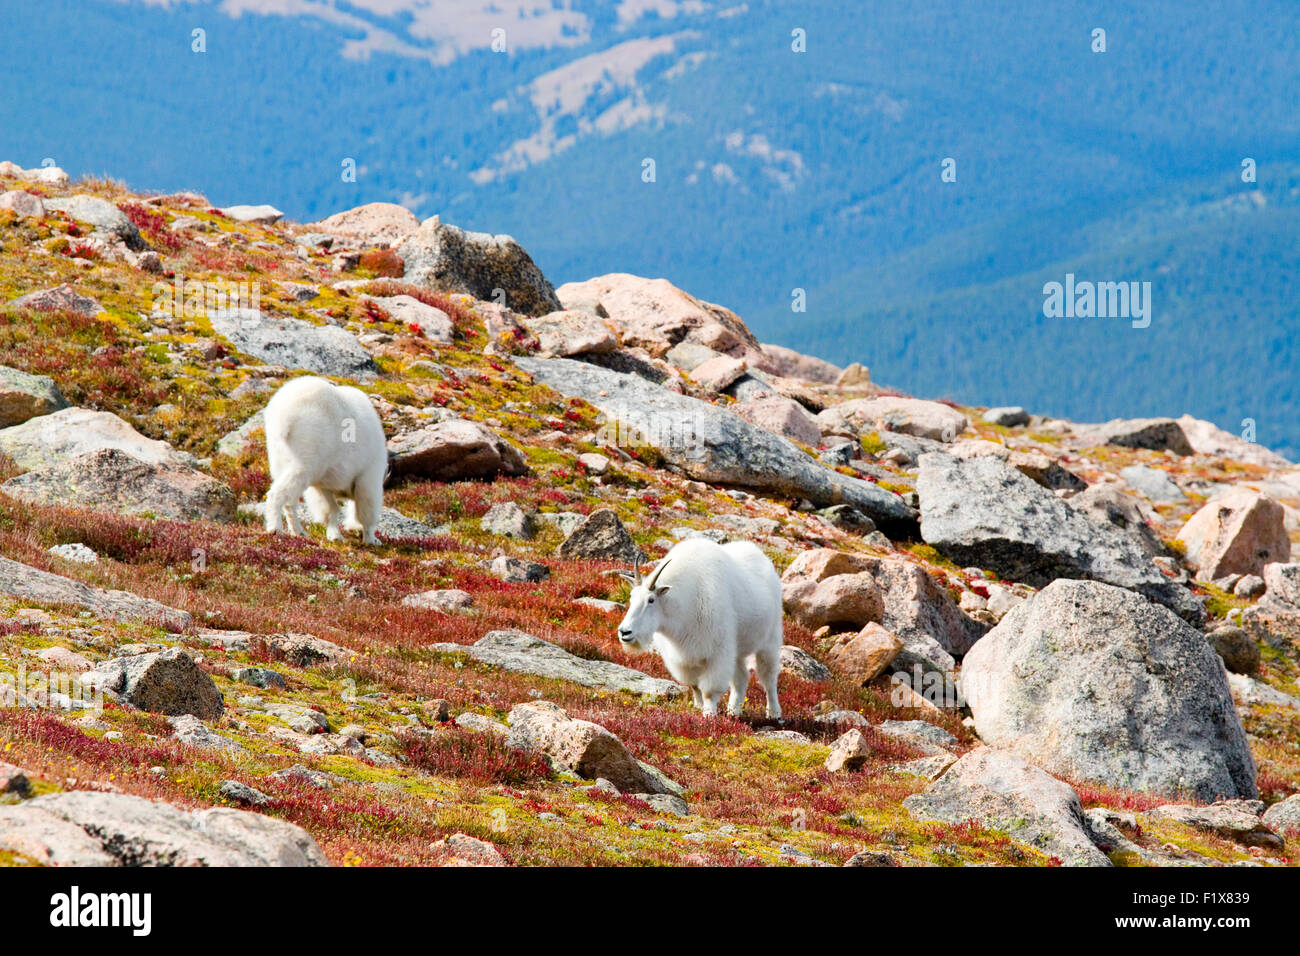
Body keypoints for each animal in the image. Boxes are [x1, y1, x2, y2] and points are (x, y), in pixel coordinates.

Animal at [261, 374, 384, 546]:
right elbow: (367, 507)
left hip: (279, 457)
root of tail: (283, 419)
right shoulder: (369, 473)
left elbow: (328, 507)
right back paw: (275, 528)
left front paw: (336, 536)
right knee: (280, 491)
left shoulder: (323, 482)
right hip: (306, 453)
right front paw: (372, 539)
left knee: (290, 498)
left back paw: (299, 531)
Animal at [611, 538, 774, 717]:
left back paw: (774, 714)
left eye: (651, 600)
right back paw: (734, 711)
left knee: (769, 679)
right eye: (631, 597)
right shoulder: (685, 657)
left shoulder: (718, 652)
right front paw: (698, 708)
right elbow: (695, 685)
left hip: (770, 641)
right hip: (737, 651)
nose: (625, 632)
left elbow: (710, 690)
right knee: (742, 677)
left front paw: (709, 714)